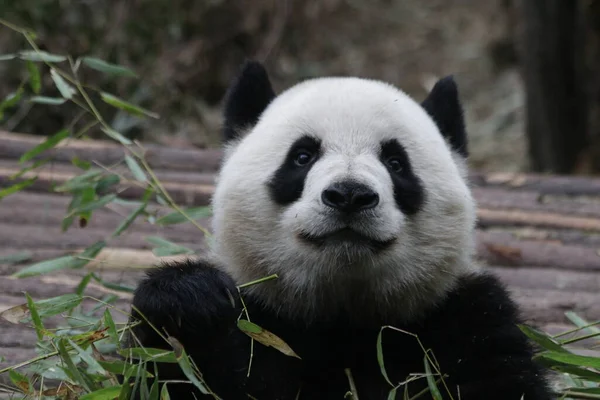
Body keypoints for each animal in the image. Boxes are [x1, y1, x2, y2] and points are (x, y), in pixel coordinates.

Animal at [127, 60, 552, 400]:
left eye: (396, 162)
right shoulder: (266, 319)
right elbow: (182, 375)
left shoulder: (462, 317)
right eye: (302, 156)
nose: (349, 195)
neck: (342, 312)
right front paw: (190, 300)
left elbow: (503, 380)